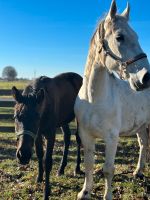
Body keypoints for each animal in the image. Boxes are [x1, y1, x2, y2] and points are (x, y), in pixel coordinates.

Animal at [74, 0, 150, 199]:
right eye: (119, 37)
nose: (146, 78)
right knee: (143, 143)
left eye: (137, 36)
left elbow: (108, 169)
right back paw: (138, 172)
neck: (93, 99)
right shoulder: (86, 136)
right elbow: (89, 165)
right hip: (141, 126)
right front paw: (85, 192)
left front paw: (107, 195)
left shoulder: (112, 138)